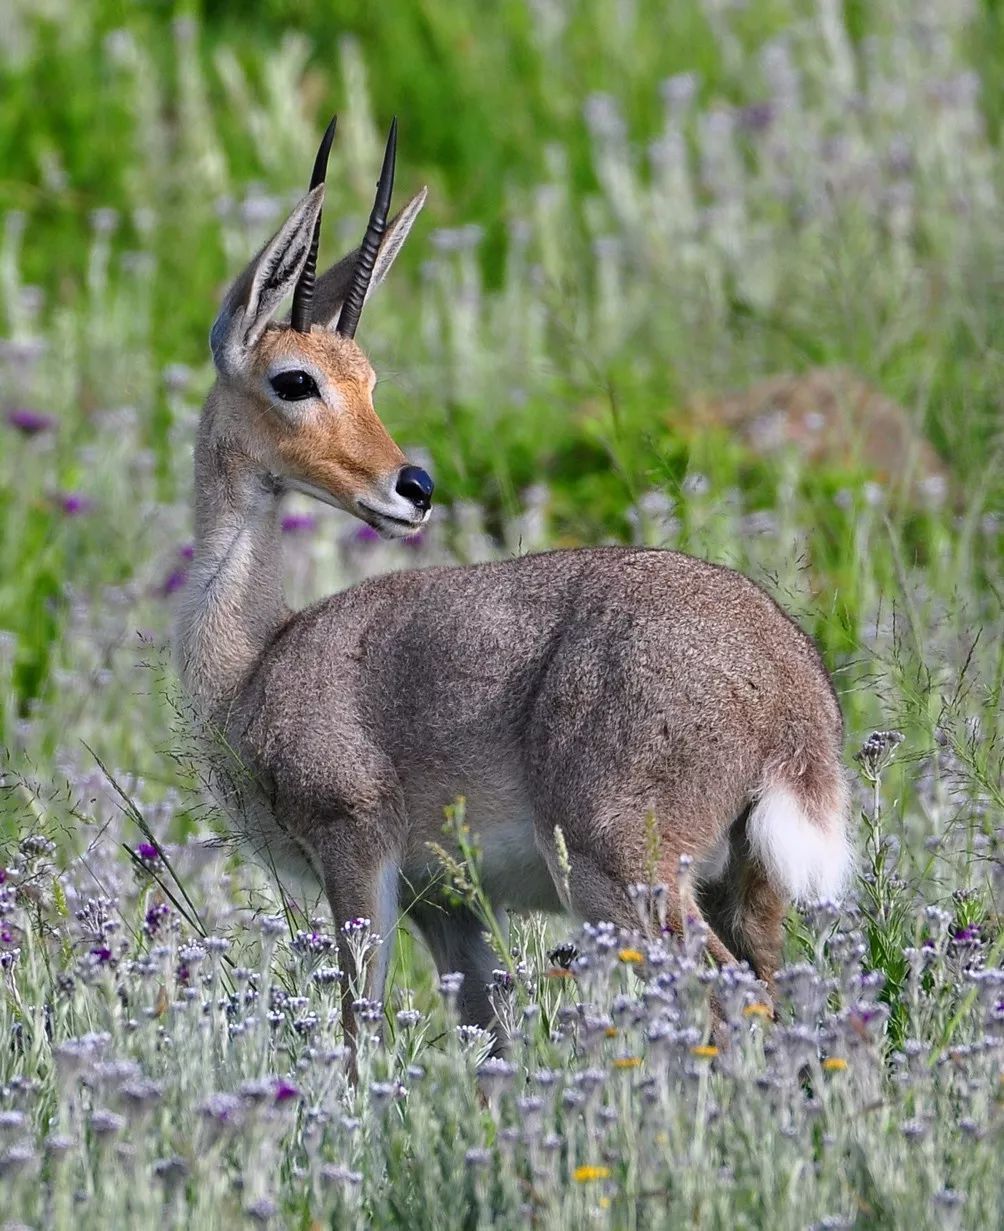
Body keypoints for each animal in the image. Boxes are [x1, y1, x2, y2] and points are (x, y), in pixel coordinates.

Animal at [175, 115, 851, 1043]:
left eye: (366, 380)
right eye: (297, 378)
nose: (412, 487)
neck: (255, 660)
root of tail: (788, 694)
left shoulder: (357, 856)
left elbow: (358, 1027)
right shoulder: (447, 907)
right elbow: (489, 1034)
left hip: (625, 874)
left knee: (732, 999)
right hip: (744, 889)